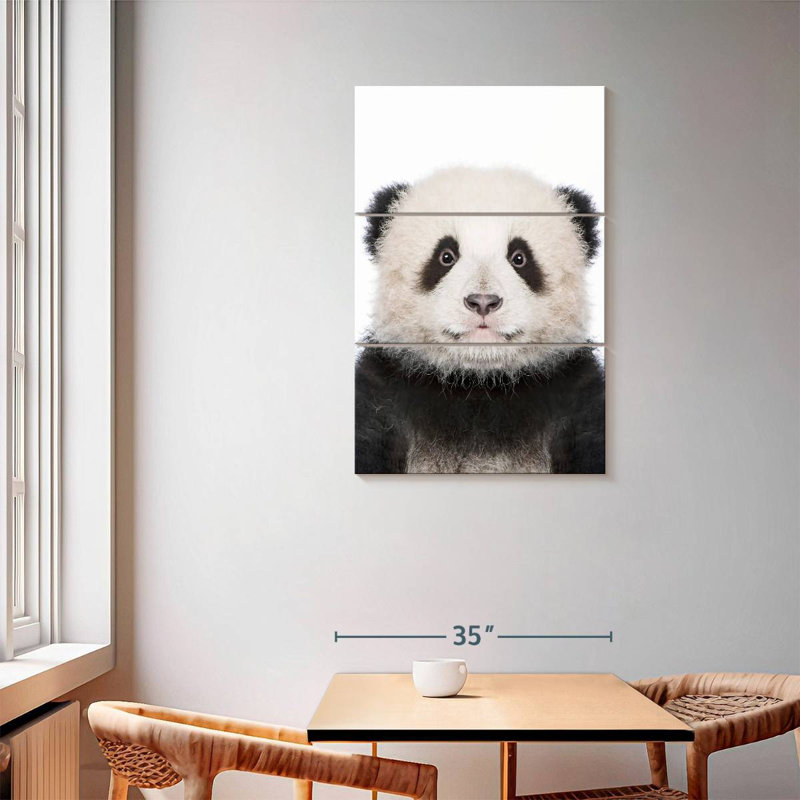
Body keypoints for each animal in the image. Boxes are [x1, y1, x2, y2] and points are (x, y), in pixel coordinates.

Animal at [355, 167, 605, 474]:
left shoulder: (576, 398)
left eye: (519, 258)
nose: (483, 301)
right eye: (445, 256)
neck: (479, 385)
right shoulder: (382, 396)